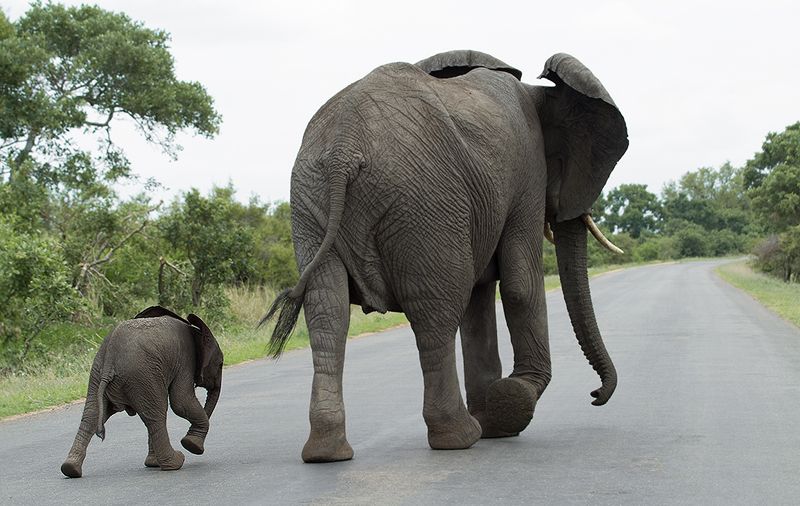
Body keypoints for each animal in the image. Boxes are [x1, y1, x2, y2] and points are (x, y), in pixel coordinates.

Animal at [61, 306, 223, 477]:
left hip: (99, 373)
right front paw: (190, 444)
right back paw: (175, 463)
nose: (195, 444)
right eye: (220, 364)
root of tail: (111, 356)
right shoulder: (185, 360)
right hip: (141, 374)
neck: (195, 330)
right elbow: (181, 402)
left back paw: (71, 469)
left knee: (92, 415)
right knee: (157, 414)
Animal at [263, 50, 628, 463]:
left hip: (310, 198)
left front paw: (495, 421)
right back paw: (460, 436)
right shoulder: (528, 171)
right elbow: (519, 285)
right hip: (421, 202)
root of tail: (344, 148)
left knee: (328, 312)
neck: (540, 95)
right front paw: (507, 406)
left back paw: (327, 453)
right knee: (435, 313)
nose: (596, 395)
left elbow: (480, 299)